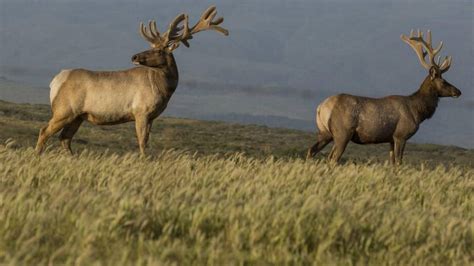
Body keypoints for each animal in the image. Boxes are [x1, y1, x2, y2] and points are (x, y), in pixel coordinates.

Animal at [35, 6, 230, 155]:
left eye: (158, 50)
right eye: (151, 46)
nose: (134, 56)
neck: (164, 89)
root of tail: (55, 82)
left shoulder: (151, 116)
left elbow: (147, 141)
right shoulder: (141, 111)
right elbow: (142, 142)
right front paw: (144, 161)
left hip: (78, 116)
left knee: (65, 138)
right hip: (64, 110)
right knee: (45, 131)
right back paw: (38, 156)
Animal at [306, 30, 462, 165]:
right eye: (443, 81)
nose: (458, 91)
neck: (417, 111)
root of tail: (321, 108)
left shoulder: (390, 139)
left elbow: (392, 163)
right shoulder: (401, 135)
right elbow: (399, 162)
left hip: (325, 132)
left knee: (312, 150)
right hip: (342, 132)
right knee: (332, 158)